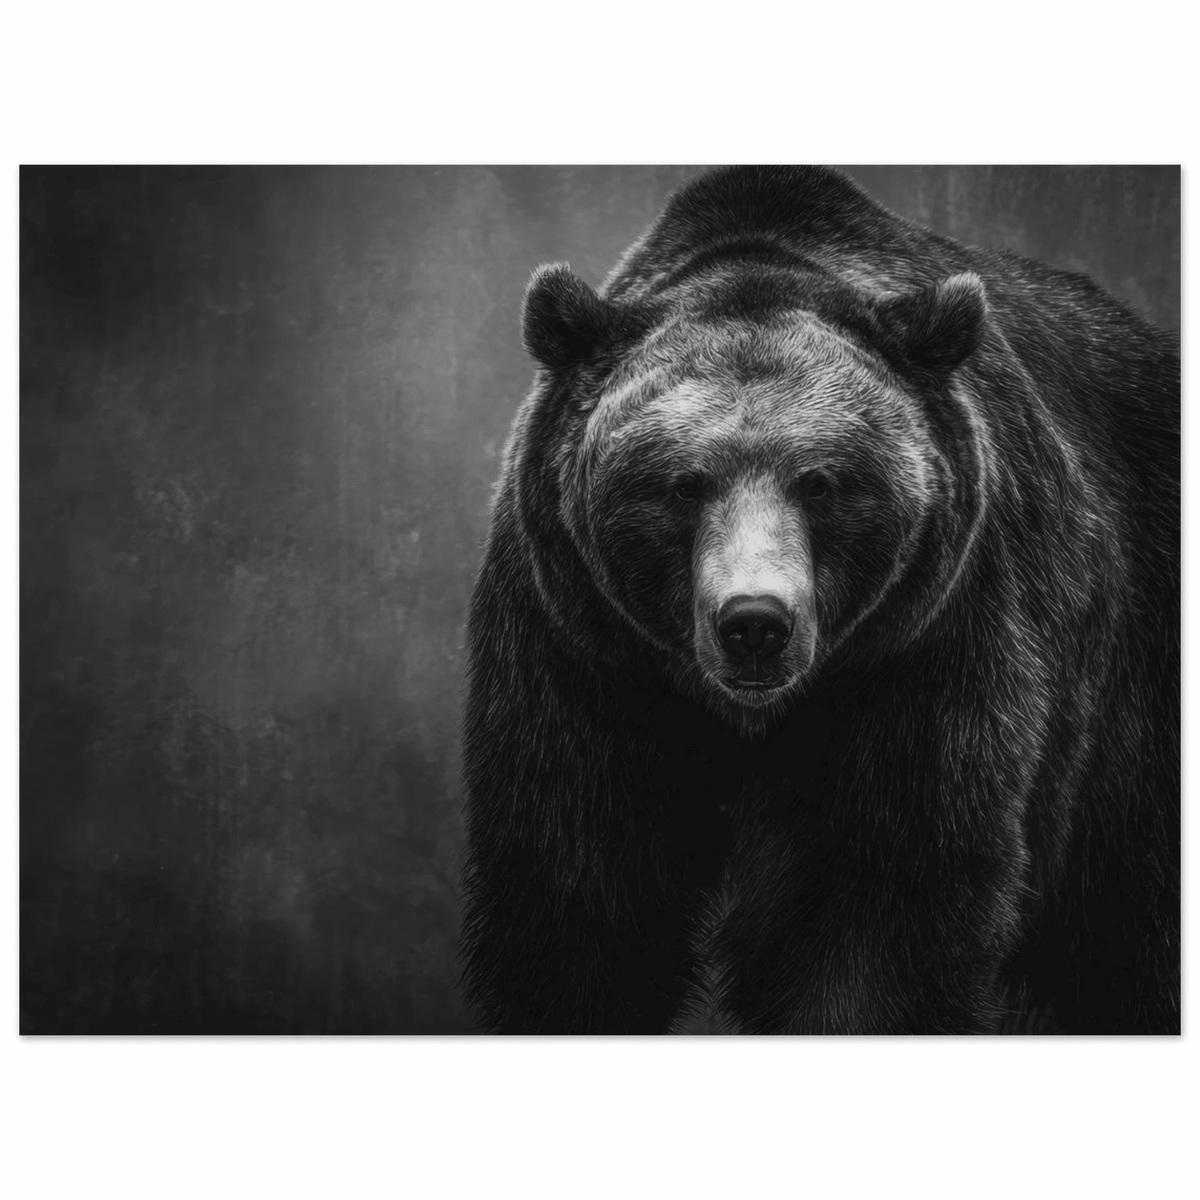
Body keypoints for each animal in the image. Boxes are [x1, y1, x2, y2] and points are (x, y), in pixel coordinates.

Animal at [459, 165, 1181, 1037]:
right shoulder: (580, 655)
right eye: (681, 484)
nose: (754, 625)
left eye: (822, 482)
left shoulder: (925, 651)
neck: (753, 720)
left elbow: (874, 909)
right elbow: (578, 897)